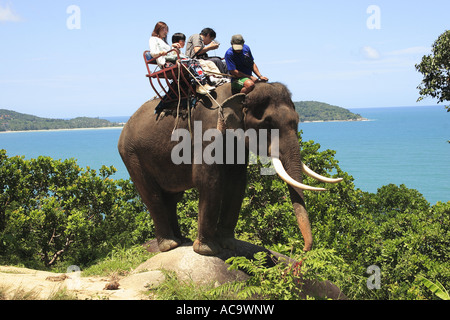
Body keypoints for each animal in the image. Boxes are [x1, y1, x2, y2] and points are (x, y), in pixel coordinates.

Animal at [118, 82, 342, 255]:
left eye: (296, 122)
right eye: (268, 124)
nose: (303, 250)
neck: (240, 91)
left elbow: (237, 182)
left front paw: (228, 245)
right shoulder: (207, 132)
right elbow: (209, 180)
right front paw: (207, 251)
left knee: (172, 198)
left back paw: (181, 241)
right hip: (132, 155)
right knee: (153, 196)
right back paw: (169, 245)